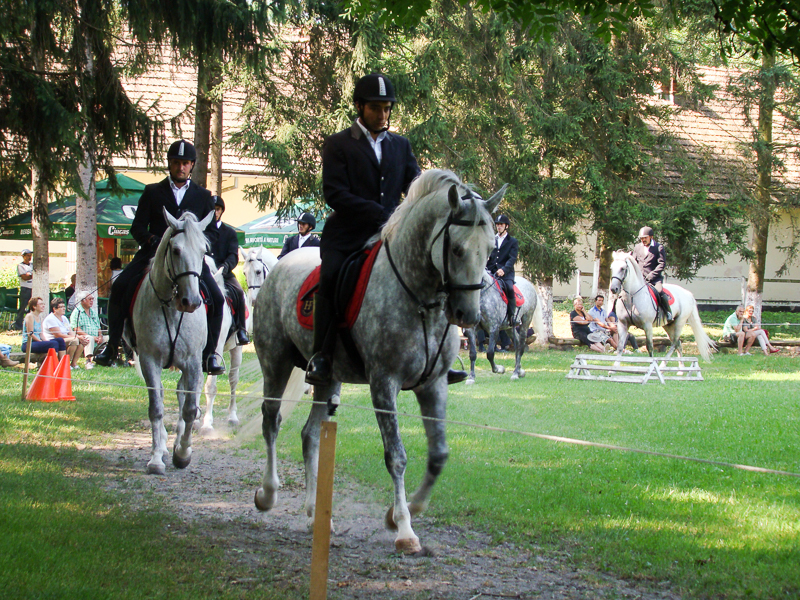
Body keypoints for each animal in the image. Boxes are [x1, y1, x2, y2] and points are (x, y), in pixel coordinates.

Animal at [126, 209, 214, 476]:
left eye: (204, 251)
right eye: (175, 250)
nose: (191, 302)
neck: (172, 309)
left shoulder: (193, 363)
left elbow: (190, 409)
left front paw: (183, 453)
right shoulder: (149, 360)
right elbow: (156, 407)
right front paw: (156, 458)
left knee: (184, 396)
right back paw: (165, 445)